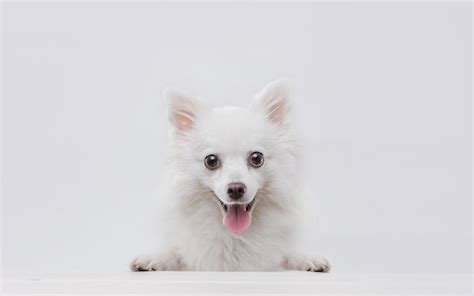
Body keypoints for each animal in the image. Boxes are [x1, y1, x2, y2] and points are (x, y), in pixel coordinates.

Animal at [130, 80, 330, 272]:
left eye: (257, 158)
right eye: (211, 161)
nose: (236, 189)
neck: (234, 236)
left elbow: (286, 255)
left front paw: (307, 258)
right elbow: (176, 254)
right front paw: (155, 258)